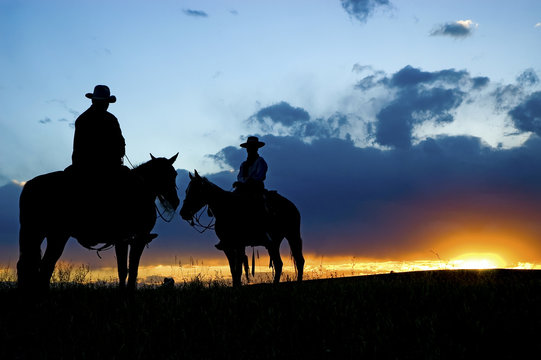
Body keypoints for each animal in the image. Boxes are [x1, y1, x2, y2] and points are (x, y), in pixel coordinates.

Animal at [16, 153, 179, 292]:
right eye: (166, 174)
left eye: (174, 174)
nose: (176, 201)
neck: (141, 190)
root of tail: (29, 185)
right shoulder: (135, 239)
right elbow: (129, 269)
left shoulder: (125, 240)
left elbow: (126, 269)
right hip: (56, 236)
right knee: (43, 266)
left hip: (40, 234)